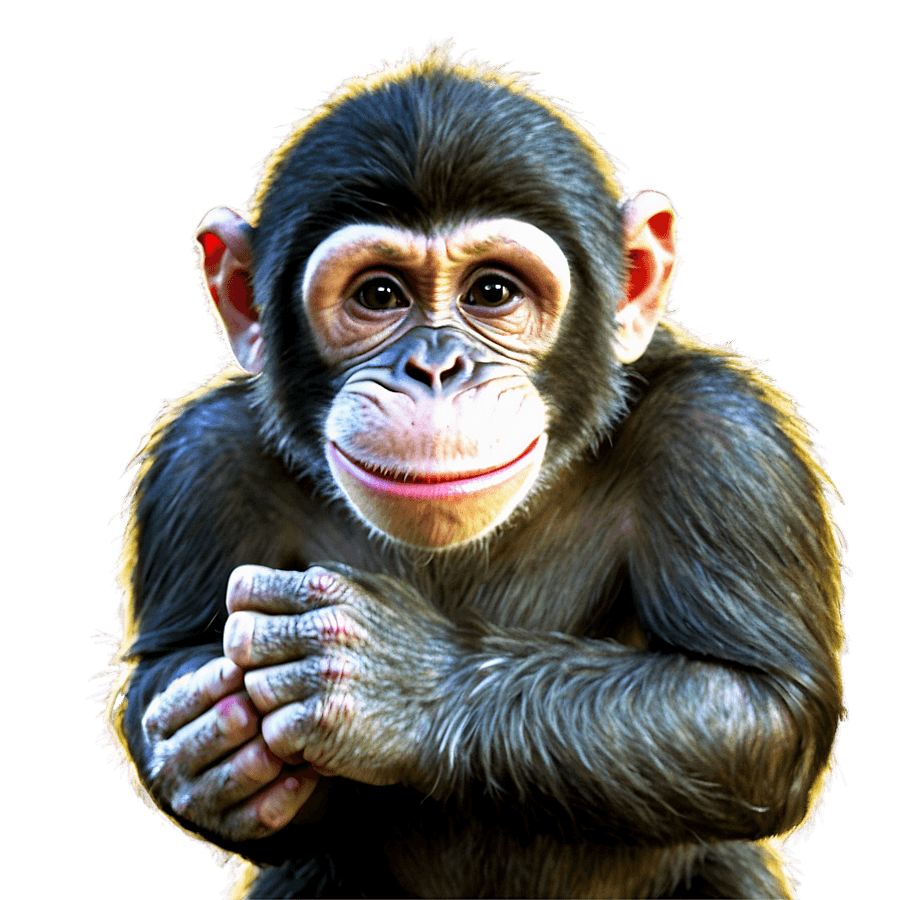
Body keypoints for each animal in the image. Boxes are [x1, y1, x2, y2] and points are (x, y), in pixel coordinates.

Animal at [94, 38, 848, 899]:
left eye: (492, 290)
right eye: (378, 294)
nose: (435, 367)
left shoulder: (727, 443)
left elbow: (757, 705)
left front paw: (397, 681)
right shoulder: (199, 461)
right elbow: (164, 668)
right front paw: (205, 742)